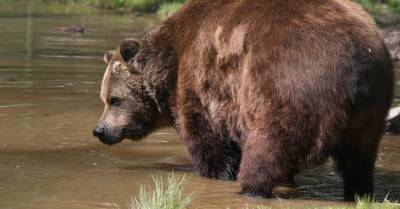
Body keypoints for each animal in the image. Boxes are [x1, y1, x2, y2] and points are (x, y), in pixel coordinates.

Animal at [93, 0, 394, 200]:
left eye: (114, 99)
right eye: (105, 98)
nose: (100, 130)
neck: (167, 66)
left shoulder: (200, 84)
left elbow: (208, 142)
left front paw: (215, 173)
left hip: (288, 85)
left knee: (269, 144)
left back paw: (250, 187)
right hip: (372, 108)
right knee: (359, 158)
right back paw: (358, 191)